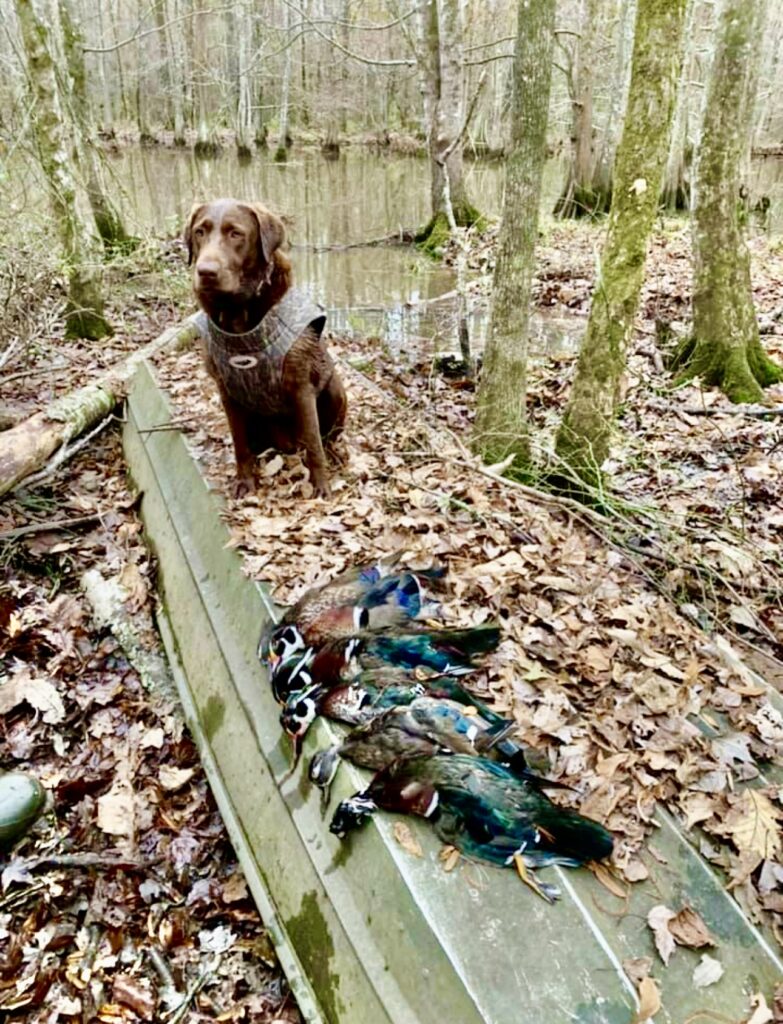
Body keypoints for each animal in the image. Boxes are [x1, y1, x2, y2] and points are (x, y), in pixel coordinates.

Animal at [185, 197, 345, 497]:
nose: (206, 272)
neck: (238, 318)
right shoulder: (226, 392)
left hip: (334, 389)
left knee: (325, 438)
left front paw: (321, 485)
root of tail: (288, 444)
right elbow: (240, 446)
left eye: (236, 233)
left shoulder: (301, 386)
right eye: (200, 232)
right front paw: (245, 481)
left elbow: (314, 444)